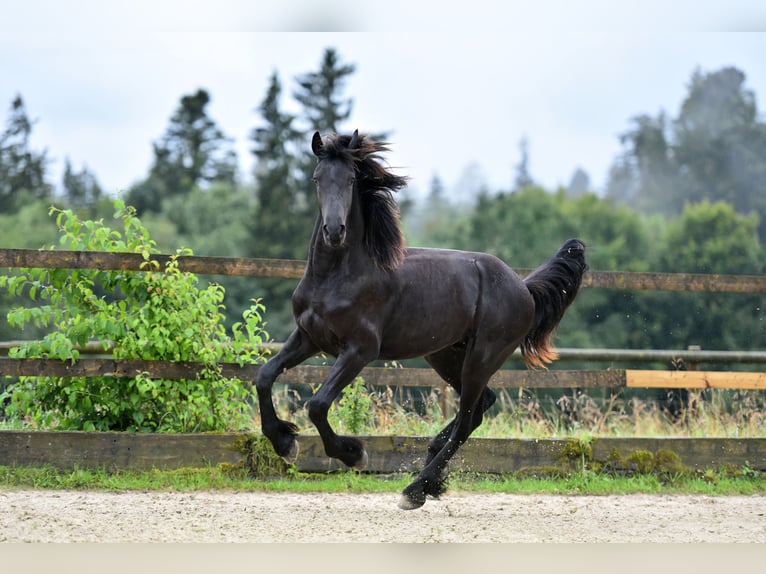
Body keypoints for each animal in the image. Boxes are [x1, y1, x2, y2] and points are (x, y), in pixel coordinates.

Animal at [254, 129, 588, 508]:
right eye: (316, 179)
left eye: (352, 179)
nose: (334, 231)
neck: (337, 276)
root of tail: (523, 288)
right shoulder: (309, 338)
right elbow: (264, 376)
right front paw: (284, 443)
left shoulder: (359, 350)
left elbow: (317, 404)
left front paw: (353, 453)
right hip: (445, 355)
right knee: (479, 407)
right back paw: (430, 476)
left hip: (482, 356)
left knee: (467, 419)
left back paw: (415, 489)